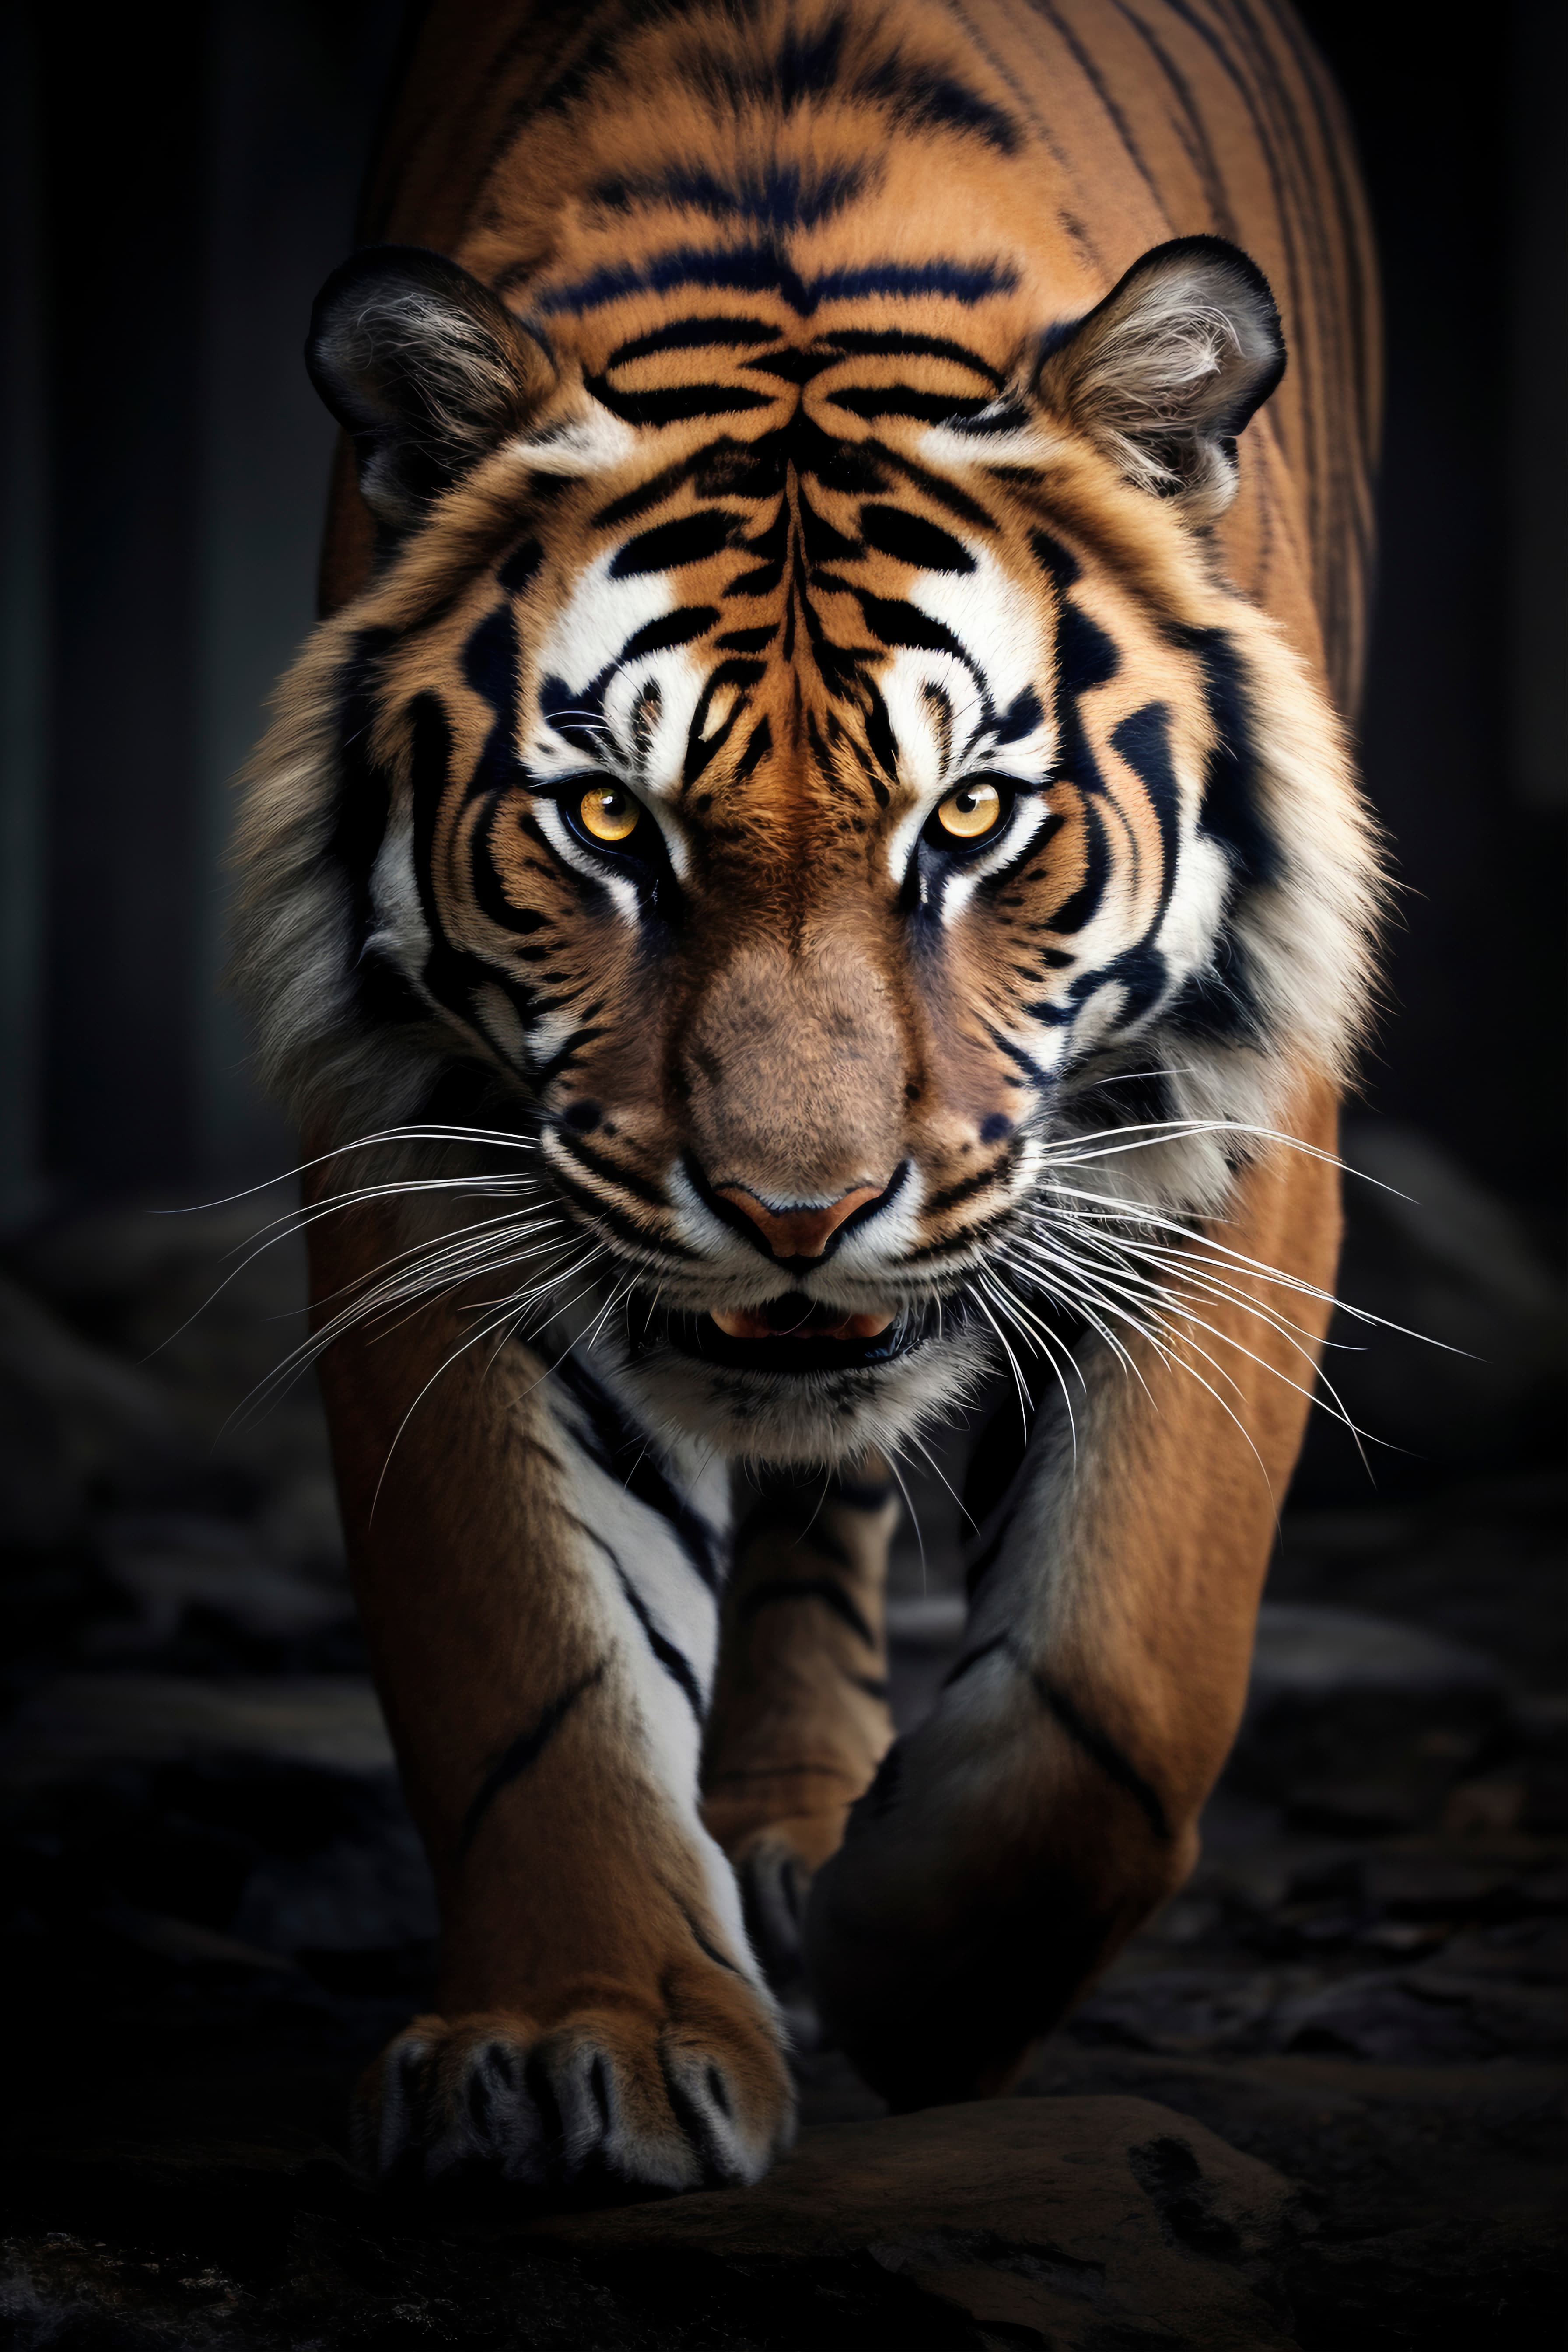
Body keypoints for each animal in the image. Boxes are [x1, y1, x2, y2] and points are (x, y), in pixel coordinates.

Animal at [233, 0, 1382, 2196]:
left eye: (974, 819)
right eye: (610, 822)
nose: (792, 1214)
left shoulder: (1234, 1131)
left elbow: (1118, 1686)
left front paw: (904, 1978)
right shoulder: (420, 1143)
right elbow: (527, 1652)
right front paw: (577, 2037)